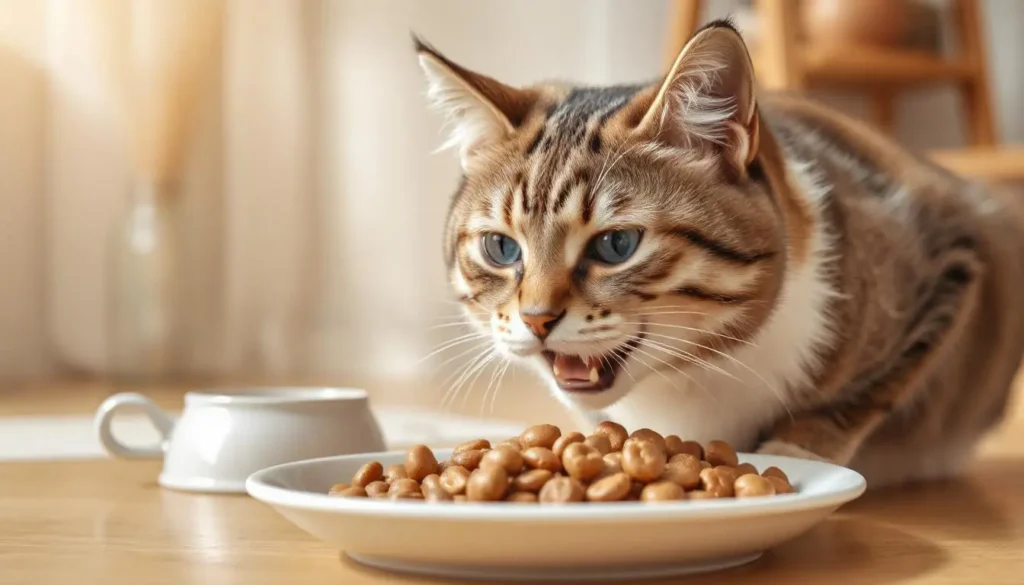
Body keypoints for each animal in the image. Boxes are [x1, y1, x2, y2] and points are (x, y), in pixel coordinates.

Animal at [413, 18, 1024, 487]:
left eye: (616, 244)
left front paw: (797, 450)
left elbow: (869, 391)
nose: (537, 319)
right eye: (500, 248)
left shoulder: (953, 252)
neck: (693, 372)